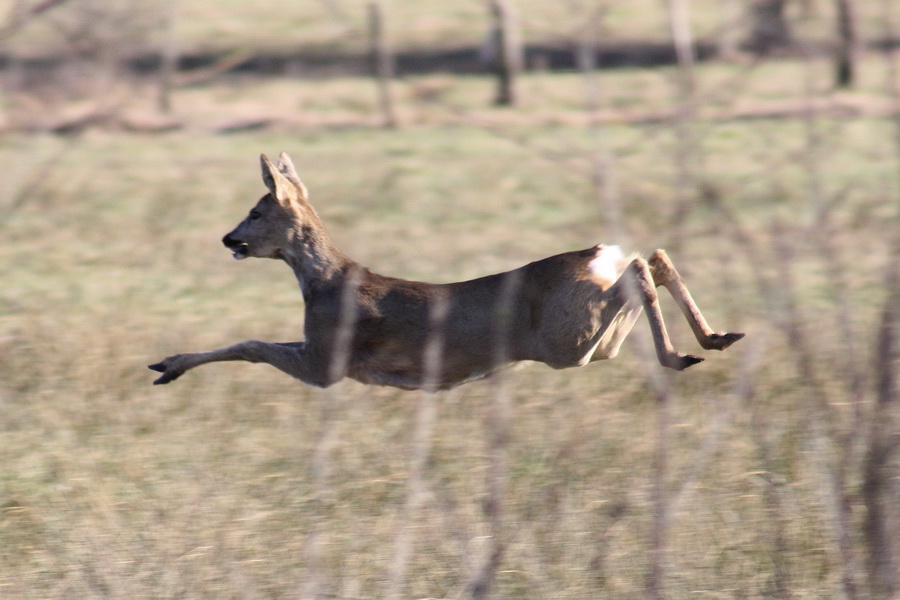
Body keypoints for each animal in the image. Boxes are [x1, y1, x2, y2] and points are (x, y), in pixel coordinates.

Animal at [151, 152, 744, 392]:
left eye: (255, 210)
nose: (228, 239)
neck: (321, 282)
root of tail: (596, 252)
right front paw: (168, 364)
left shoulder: (328, 360)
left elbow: (250, 344)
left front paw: (168, 364)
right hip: (594, 340)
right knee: (653, 258)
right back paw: (716, 338)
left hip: (568, 338)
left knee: (640, 266)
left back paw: (681, 353)